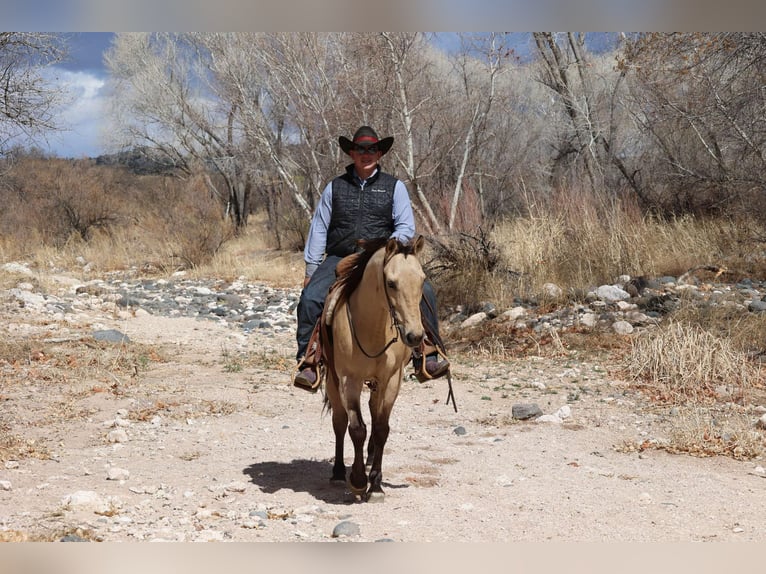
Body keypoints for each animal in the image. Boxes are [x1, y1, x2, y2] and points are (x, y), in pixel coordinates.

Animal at [320, 236, 428, 502]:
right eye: (391, 283)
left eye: (422, 280)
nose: (414, 336)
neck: (373, 329)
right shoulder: (349, 380)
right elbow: (357, 428)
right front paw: (358, 481)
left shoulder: (392, 379)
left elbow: (380, 429)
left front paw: (376, 485)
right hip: (333, 381)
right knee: (339, 422)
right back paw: (339, 472)